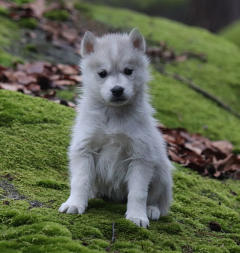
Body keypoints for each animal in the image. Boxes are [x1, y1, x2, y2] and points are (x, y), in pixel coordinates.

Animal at [59, 28, 173, 227]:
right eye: (102, 73)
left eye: (128, 71)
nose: (117, 90)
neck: (113, 115)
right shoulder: (84, 148)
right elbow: (80, 181)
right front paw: (74, 204)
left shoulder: (140, 156)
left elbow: (138, 193)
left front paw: (137, 216)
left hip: (161, 172)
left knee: (158, 200)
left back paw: (152, 209)